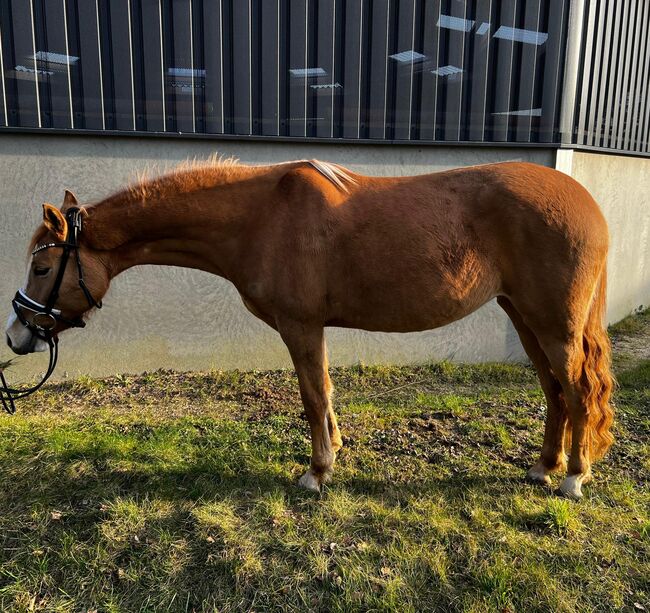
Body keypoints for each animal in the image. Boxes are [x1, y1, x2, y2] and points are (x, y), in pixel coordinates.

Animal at [6, 157, 612, 498]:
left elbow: (313, 394)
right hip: (525, 318)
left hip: (554, 326)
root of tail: (587, 203)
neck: (260, 216)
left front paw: (317, 472)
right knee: (554, 392)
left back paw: (573, 477)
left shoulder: (300, 326)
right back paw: (543, 467)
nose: (17, 335)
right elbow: (323, 394)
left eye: (43, 268)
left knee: (578, 390)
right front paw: (333, 454)